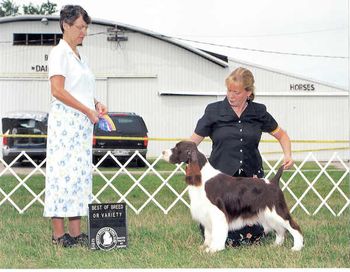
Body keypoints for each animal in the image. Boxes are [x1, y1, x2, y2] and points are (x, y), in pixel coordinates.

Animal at [163, 141, 302, 252]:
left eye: (177, 147)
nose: (163, 151)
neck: (202, 179)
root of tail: (273, 182)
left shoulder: (217, 213)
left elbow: (217, 233)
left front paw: (214, 249)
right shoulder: (206, 214)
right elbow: (208, 234)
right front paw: (205, 247)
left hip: (277, 211)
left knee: (293, 227)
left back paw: (297, 247)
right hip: (267, 214)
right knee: (280, 230)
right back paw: (276, 245)